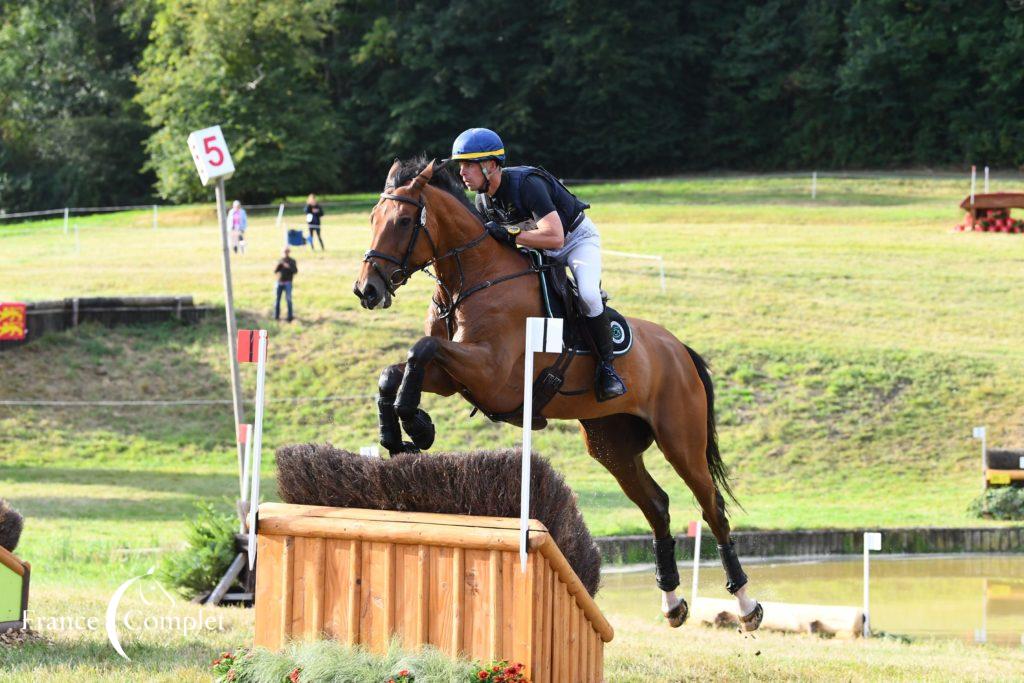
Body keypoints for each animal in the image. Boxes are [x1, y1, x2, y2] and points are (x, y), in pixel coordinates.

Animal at [352, 156, 761, 630]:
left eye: (402, 221)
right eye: (372, 219)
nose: (366, 289)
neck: (473, 278)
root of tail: (680, 350)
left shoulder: (490, 372)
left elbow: (422, 349)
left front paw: (415, 424)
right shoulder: (455, 377)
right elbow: (397, 369)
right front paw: (400, 430)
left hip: (681, 441)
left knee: (712, 507)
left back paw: (746, 604)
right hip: (611, 445)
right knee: (657, 505)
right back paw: (672, 601)